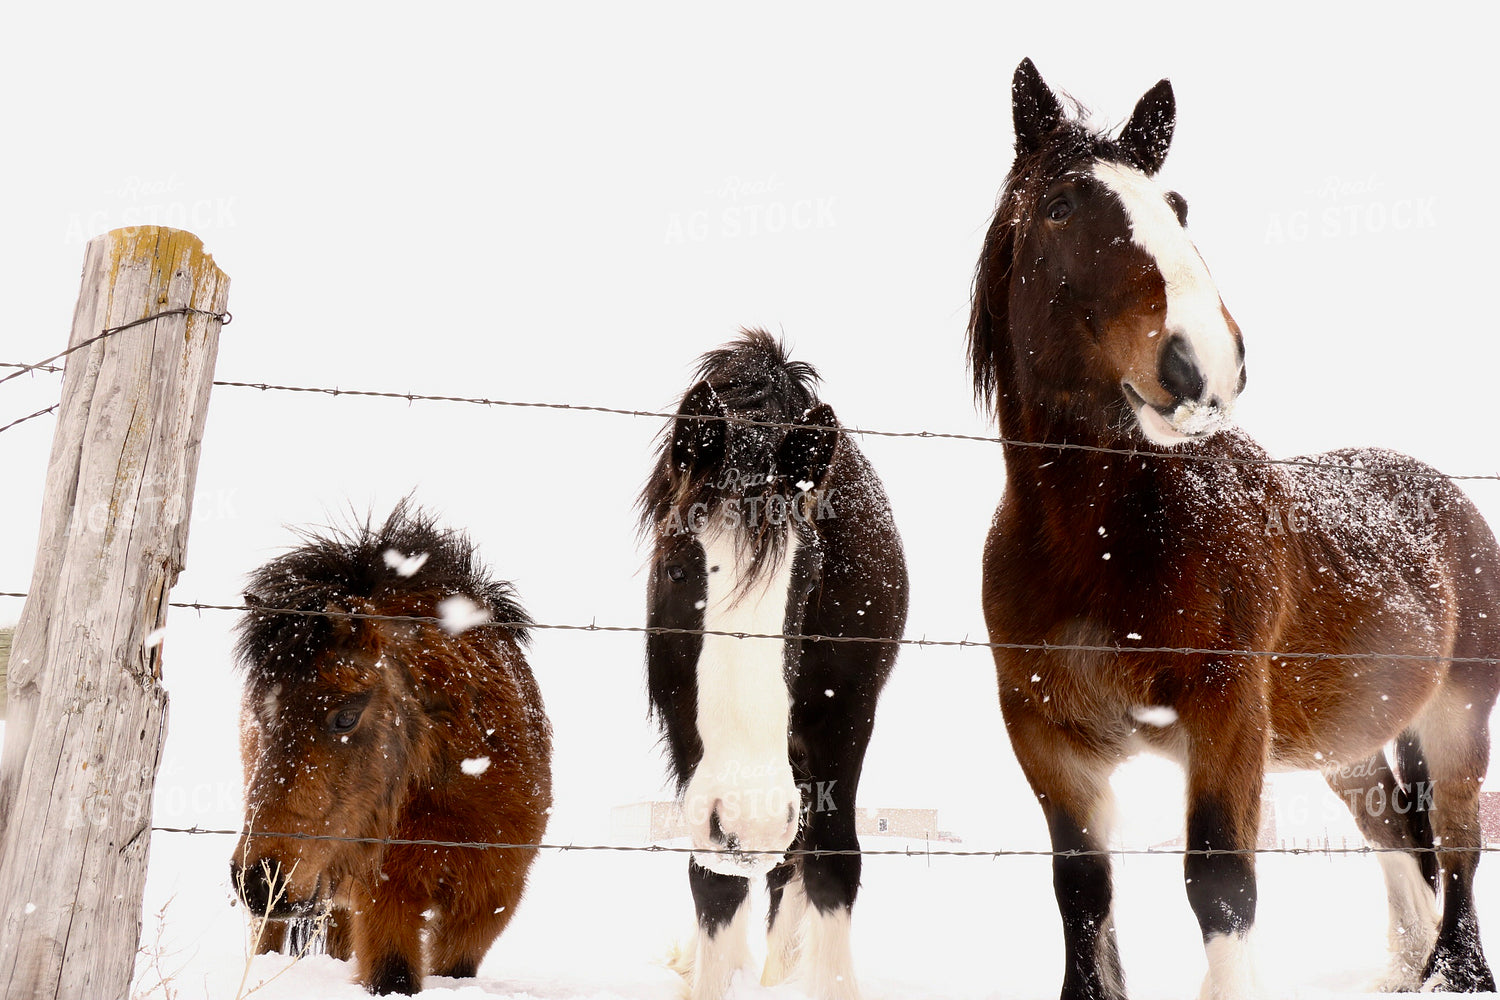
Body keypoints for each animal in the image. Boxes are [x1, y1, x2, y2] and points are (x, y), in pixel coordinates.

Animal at [229, 502, 553, 996]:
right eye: (261, 716)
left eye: (346, 716)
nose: (259, 880)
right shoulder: (387, 900)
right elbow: (393, 976)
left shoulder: (488, 904)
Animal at [638, 329, 909, 1000]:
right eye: (676, 570)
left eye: (808, 582)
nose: (751, 817)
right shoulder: (688, 738)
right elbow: (714, 882)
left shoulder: (846, 718)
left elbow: (832, 863)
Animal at [968, 58, 1500, 999]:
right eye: (1062, 206)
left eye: (1176, 206)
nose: (1202, 364)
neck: (1095, 545)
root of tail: (1452, 500)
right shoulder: (1046, 738)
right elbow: (1082, 888)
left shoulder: (1226, 716)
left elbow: (1220, 884)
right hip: (1345, 745)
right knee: (1398, 838)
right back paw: (1407, 969)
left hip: (1457, 718)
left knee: (1461, 848)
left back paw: (1454, 972)